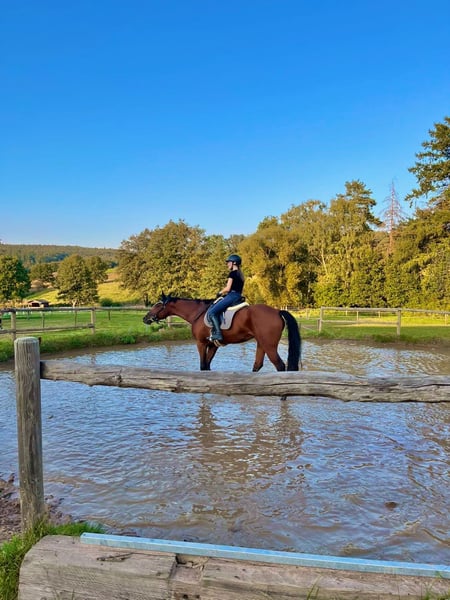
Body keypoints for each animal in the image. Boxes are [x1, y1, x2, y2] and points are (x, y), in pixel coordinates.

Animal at [143, 293, 301, 372]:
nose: (145, 318)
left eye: (157, 305)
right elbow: (207, 366)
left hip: (269, 345)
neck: (197, 313)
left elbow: (202, 366)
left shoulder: (201, 343)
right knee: (257, 365)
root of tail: (277, 311)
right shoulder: (213, 345)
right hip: (261, 343)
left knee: (280, 366)